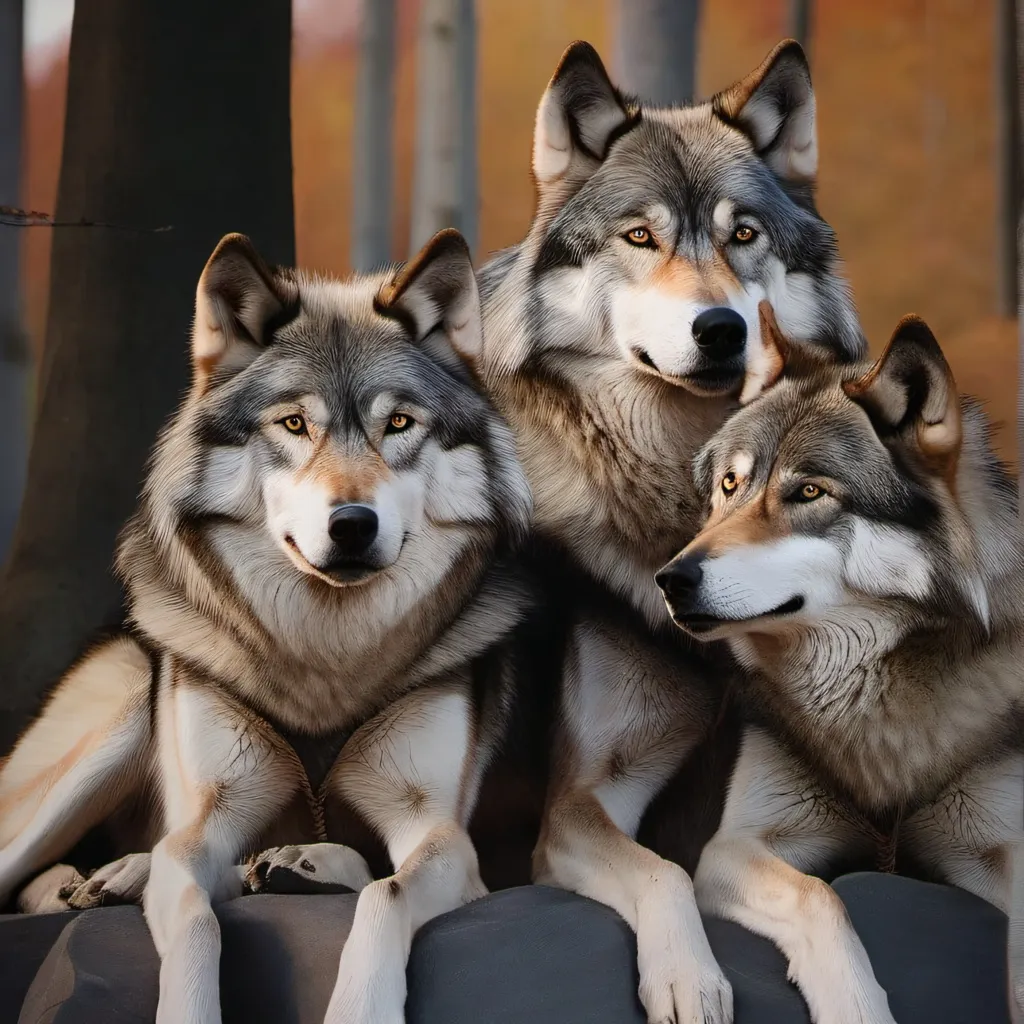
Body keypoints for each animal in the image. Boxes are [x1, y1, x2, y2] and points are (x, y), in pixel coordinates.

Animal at [0, 227, 534, 1024]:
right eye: (293, 423)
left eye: (398, 424)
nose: (352, 524)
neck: (326, 664)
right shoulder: (203, 826)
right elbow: (195, 914)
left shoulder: (444, 837)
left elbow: (384, 893)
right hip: (119, 715)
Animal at [475, 37, 865, 1023]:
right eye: (640, 237)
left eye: (743, 235)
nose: (721, 328)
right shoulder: (583, 801)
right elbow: (665, 873)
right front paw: (689, 978)